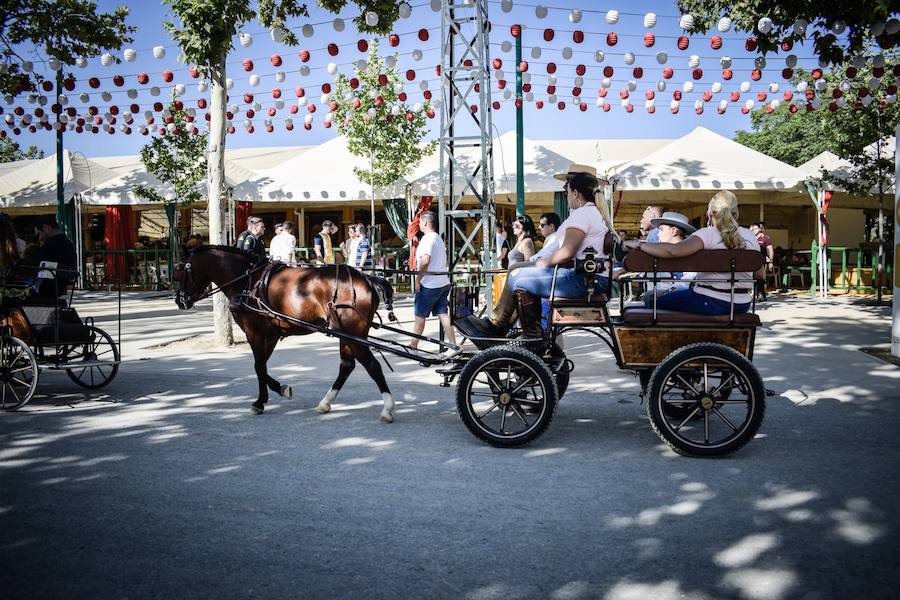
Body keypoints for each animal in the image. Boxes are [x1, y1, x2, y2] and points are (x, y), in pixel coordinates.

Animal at [172, 244, 394, 422]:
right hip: (345, 333)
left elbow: (258, 366)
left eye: (179, 272)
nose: (179, 301)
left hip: (352, 333)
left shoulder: (254, 332)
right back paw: (326, 402)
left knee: (372, 366)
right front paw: (278, 390)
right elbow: (262, 366)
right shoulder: (270, 335)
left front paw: (261, 401)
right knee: (347, 366)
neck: (248, 280)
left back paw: (387, 408)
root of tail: (366, 279)